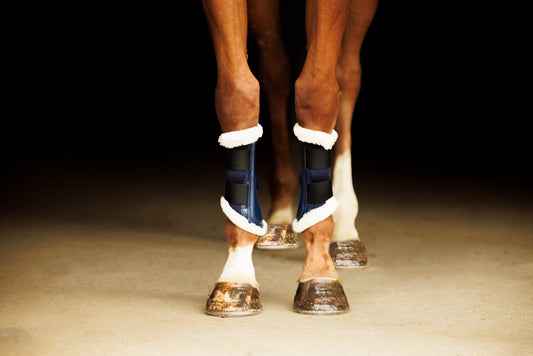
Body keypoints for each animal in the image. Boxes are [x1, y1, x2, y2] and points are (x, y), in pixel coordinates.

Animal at [200, 0, 378, 318]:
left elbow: (317, 92)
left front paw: (320, 276)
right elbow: (238, 93)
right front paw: (236, 275)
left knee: (346, 75)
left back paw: (345, 231)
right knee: (275, 73)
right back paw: (279, 220)